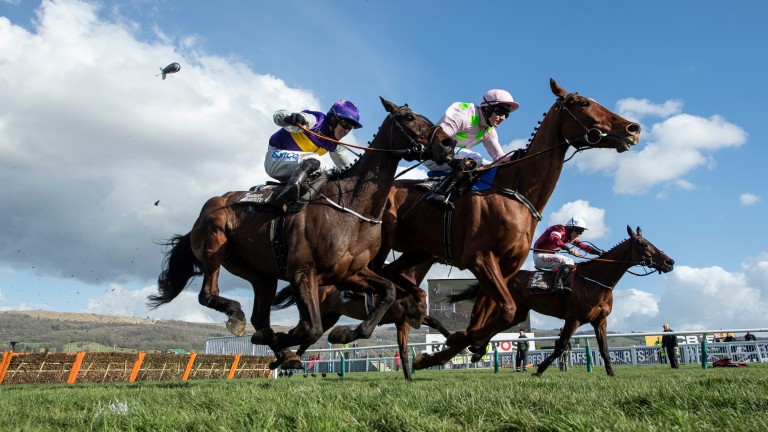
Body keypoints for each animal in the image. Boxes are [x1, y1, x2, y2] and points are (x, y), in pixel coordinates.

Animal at [147, 98, 452, 368]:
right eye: (409, 117)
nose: (448, 143)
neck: (351, 206)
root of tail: (208, 207)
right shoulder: (302, 271)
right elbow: (311, 328)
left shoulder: (350, 273)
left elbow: (387, 292)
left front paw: (347, 333)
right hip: (215, 245)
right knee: (209, 295)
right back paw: (239, 318)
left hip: (261, 274)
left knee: (260, 318)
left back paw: (282, 351)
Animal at [272, 286, 452, 382]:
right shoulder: (403, 321)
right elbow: (403, 350)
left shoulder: (407, 320)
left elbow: (435, 323)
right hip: (316, 316)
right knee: (296, 333)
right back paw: (282, 359)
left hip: (329, 318)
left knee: (306, 337)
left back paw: (289, 360)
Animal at [372, 79, 640, 370]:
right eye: (584, 103)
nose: (633, 129)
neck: (516, 191)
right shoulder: (480, 259)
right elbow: (507, 311)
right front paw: (456, 344)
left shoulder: (505, 267)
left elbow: (485, 318)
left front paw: (448, 348)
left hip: (420, 251)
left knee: (392, 272)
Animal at [448, 226, 676, 374]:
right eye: (642, 243)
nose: (669, 262)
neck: (596, 280)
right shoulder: (573, 318)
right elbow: (560, 346)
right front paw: (539, 369)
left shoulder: (600, 321)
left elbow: (604, 349)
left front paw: (612, 374)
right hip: (503, 305)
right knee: (489, 325)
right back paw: (474, 348)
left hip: (519, 312)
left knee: (496, 327)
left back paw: (477, 351)